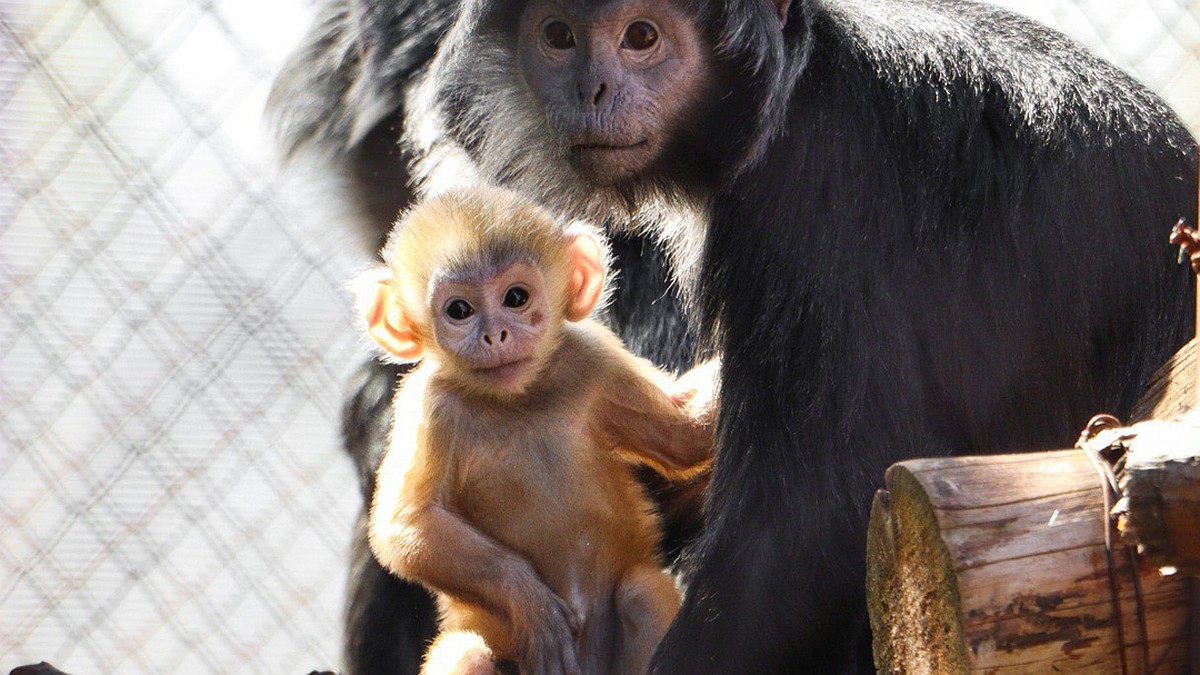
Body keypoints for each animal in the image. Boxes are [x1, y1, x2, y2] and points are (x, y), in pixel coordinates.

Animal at [360, 184, 715, 672]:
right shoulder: (428, 405)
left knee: (641, 590)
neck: (519, 403)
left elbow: (685, 437)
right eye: (459, 310)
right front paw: (531, 603)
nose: (496, 336)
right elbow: (406, 525)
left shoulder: (592, 357)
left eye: (515, 298)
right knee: (467, 650)